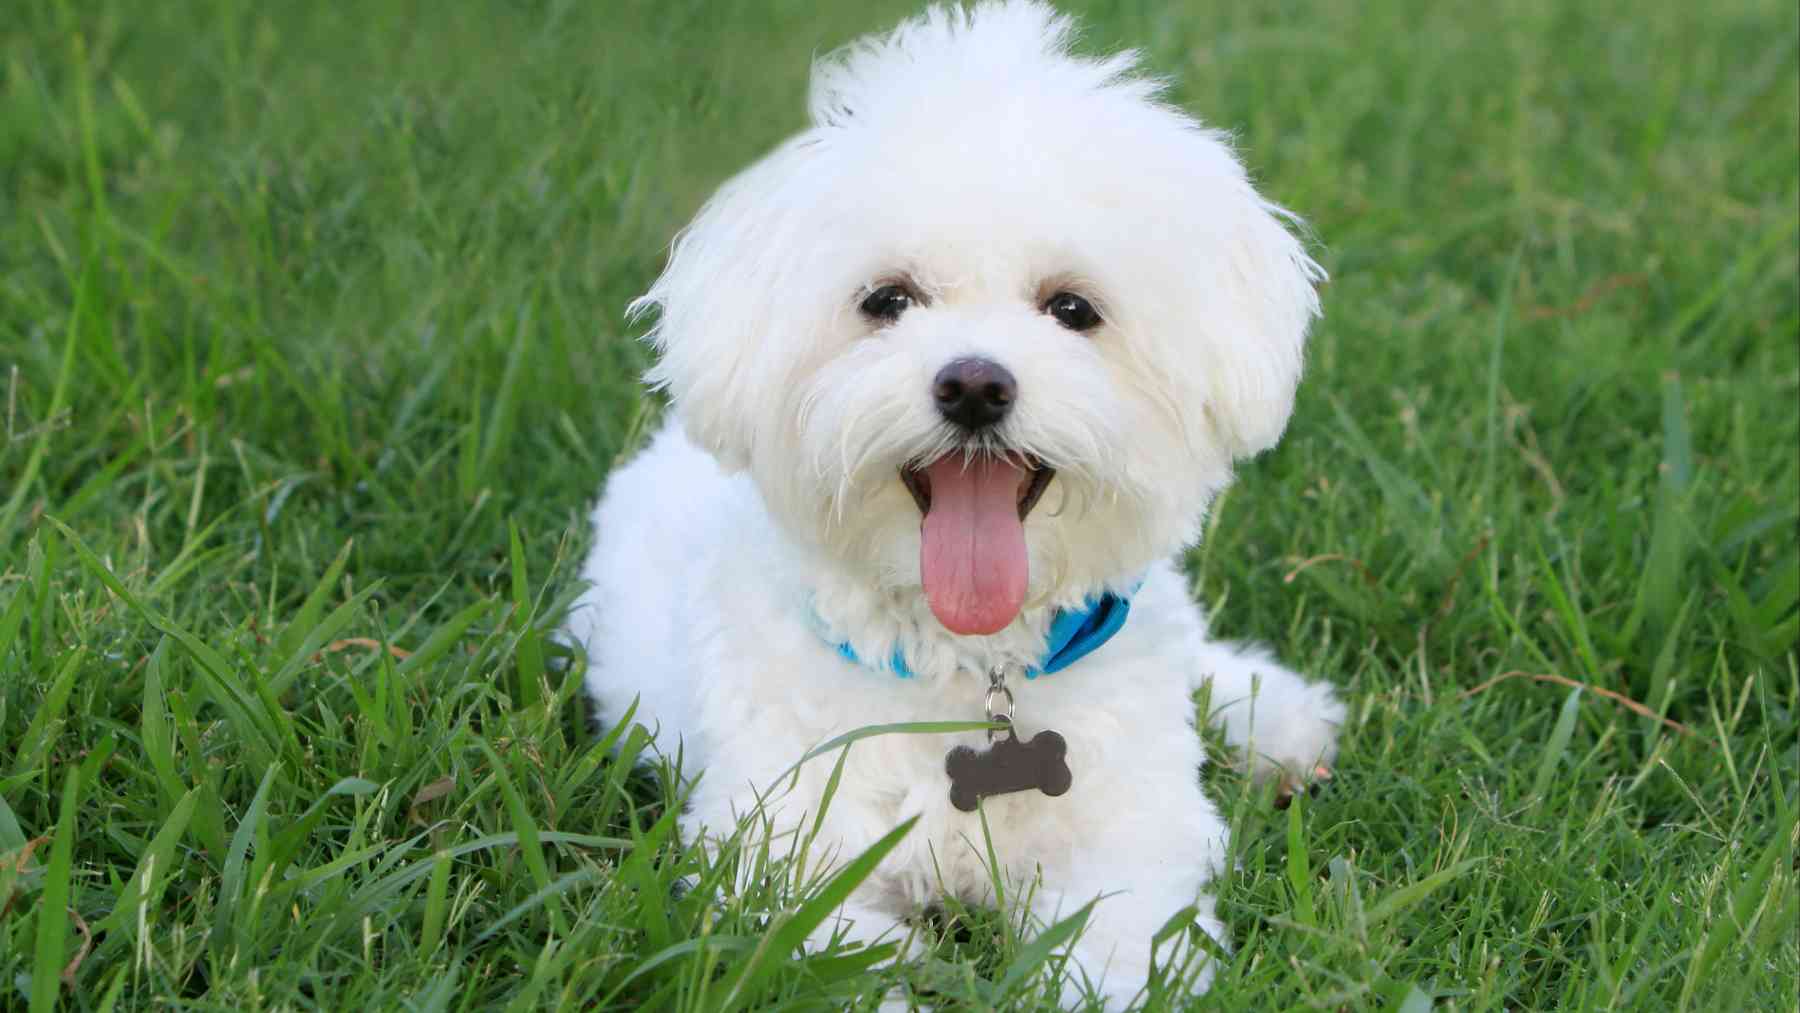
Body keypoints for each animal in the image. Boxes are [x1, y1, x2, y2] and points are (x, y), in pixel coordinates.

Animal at [568, 3, 1346, 1007]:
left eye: (1072, 308)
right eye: (886, 300)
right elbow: (833, 959)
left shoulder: (1128, 844)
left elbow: (1120, 948)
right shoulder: (779, 864)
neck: (969, 669)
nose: (975, 385)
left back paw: (1272, 716)